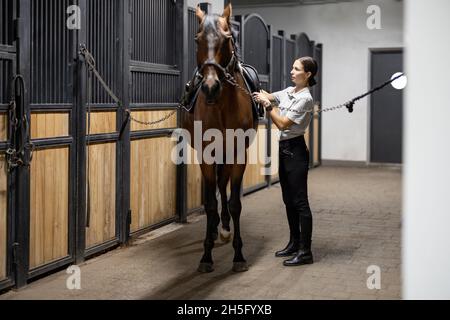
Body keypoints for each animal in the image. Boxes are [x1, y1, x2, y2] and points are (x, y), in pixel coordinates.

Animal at [180, 3, 256, 272]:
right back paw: (215, 230)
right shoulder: (205, 154)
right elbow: (210, 203)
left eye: (226, 39)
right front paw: (206, 257)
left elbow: (234, 203)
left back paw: (223, 228)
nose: (210, 87)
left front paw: (239, 255)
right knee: (214, 190)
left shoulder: (238, 154)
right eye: (197, 39)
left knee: (223, 186)